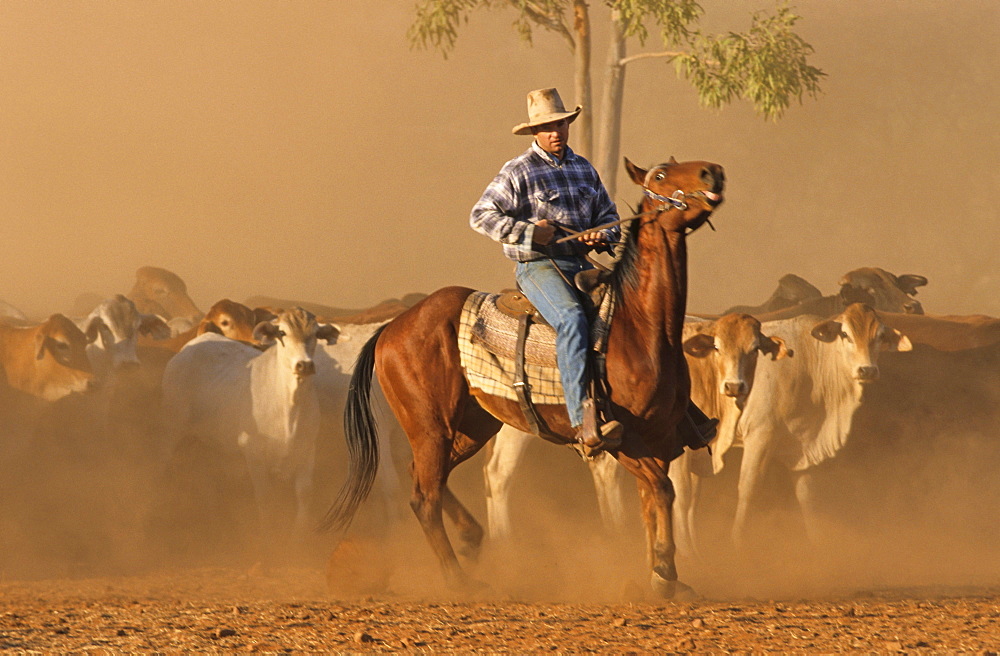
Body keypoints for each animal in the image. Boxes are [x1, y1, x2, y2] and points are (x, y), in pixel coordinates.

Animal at [328, 156, 728, 596]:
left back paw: (471, 538)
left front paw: (660, 573)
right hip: (430, 427)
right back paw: (459, 580)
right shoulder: (625, 441)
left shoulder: (659, 441)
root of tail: (392, 327)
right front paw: (664, 572)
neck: (638, 326)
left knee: (428, 478)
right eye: (659, 176)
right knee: (424, 497)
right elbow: (662, 490)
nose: (712, 171)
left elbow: (651, 502)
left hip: (472, 426)